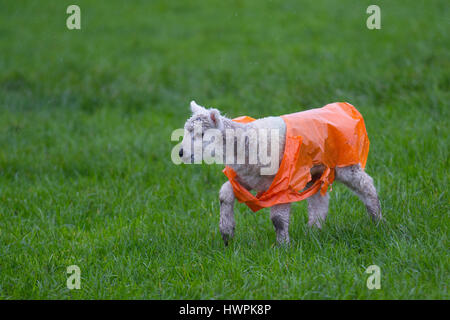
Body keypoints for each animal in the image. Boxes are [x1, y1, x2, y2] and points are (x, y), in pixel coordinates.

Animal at [178, 100, 382, 245]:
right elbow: (224, 193)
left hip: (346, 163)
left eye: (202, 134)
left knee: (367, 185)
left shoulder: (281, 183)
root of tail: (346, 107)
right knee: (319, 201)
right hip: (316, 171)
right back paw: (313, 231)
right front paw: (227, 232)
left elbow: (277, 219)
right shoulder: (249, 178)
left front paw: (283, 247)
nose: (180, 153)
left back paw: (378, 220)